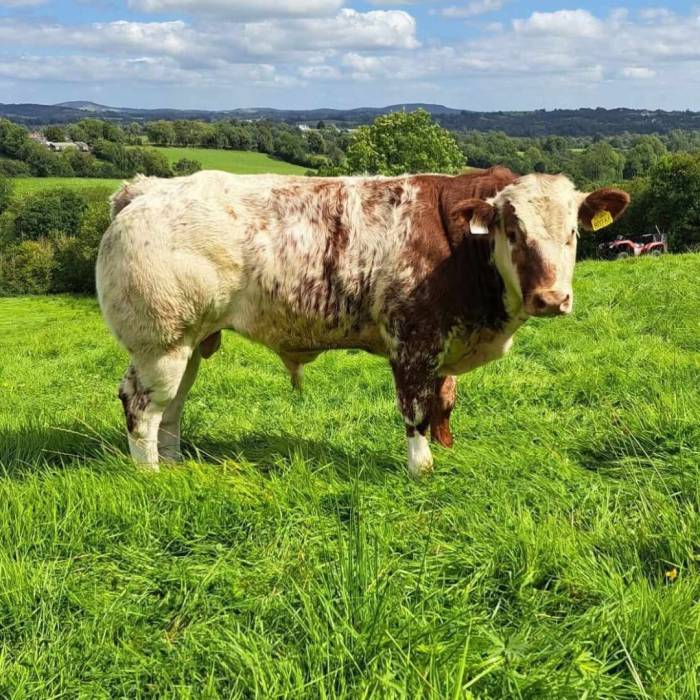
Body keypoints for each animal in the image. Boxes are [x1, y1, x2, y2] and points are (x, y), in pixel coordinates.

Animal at [96, 167, 629, 477]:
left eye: (573, 232)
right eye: (513, 230)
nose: (551, 298)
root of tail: (146, 188)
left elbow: (443, 403)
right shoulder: (412, 341)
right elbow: (416, 411)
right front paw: (421, 469)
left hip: (189, 340)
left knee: (173, 406)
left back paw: (173, 464)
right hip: (160, 342)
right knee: (140, 404)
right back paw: (149, 475)